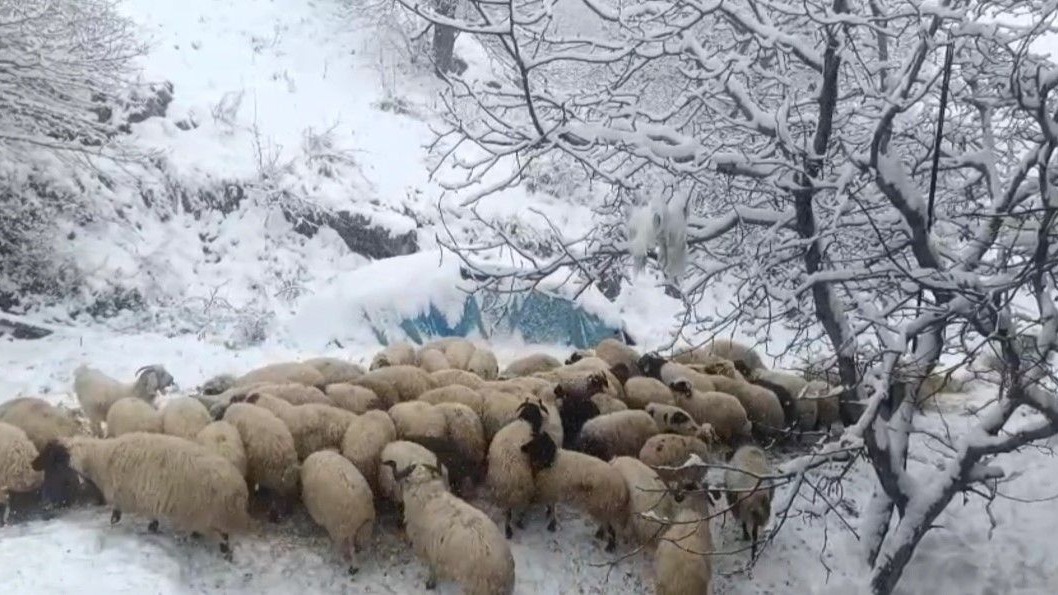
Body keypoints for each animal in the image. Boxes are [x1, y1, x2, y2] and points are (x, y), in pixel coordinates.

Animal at [33, 434, 251, 560]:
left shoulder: (130, 496)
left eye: (52, 464)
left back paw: (221, 552)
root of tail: (238, 490)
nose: (45, 503)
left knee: (223, 539)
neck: (99, 460)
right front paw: (152, 528)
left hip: (207, 517)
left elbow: (118, 515)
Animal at [386, 462, 515, 595]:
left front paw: (430, 583)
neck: (427, 494)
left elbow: (432, 567)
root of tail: (505, 570)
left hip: (476, 587)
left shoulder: (428, 546)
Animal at [486, 399, 555, 537]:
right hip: (526, 487)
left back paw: (508, 530)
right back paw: (519, 522)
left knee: (508, 511)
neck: (525, 421)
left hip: (503, 490)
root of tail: (510, 472)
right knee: (521, 508)